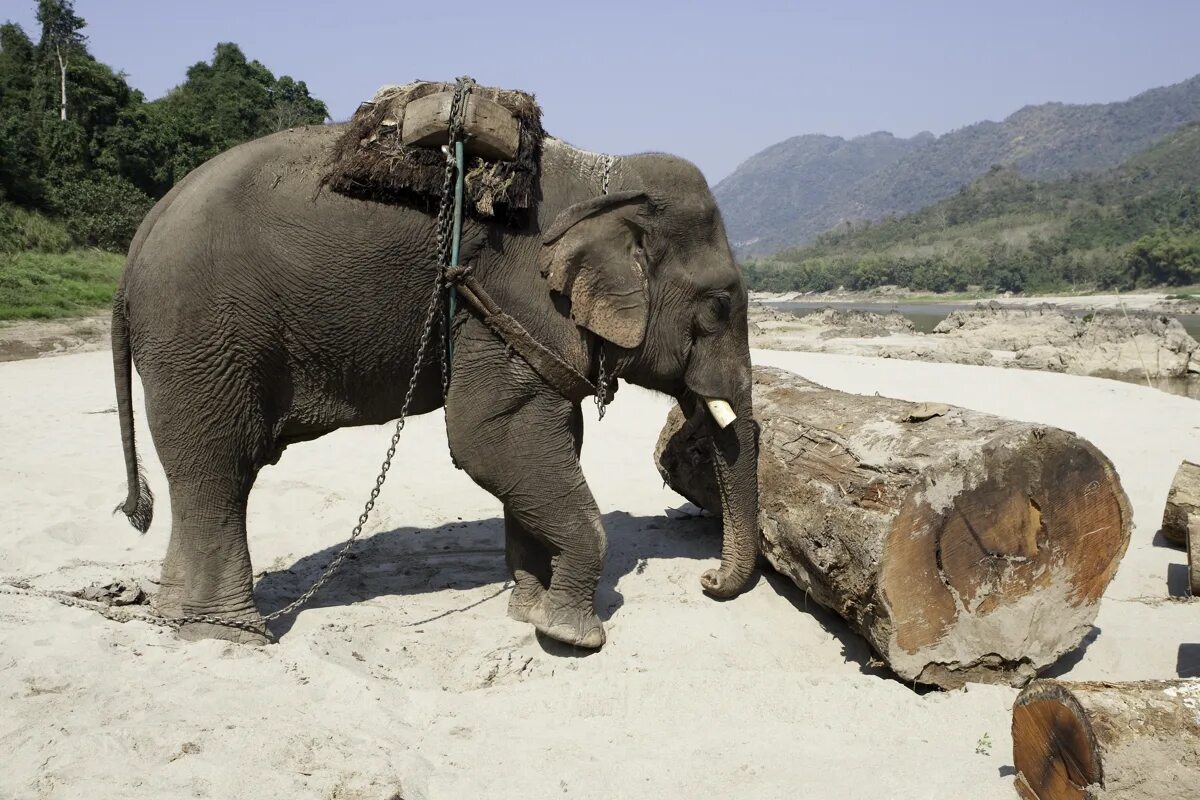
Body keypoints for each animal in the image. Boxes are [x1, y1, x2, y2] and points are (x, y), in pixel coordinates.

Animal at [108, 122, 753, 652]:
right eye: (719, 305)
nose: (707, 578)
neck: (609, 175)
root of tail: (138, 242)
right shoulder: (509, 300)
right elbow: (488, 440)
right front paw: (572, 636)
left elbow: (545, 440)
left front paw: (528, 612)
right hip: (202, 339)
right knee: (219, 470)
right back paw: (231, 636)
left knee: (200, 478)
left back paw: (177, 618)